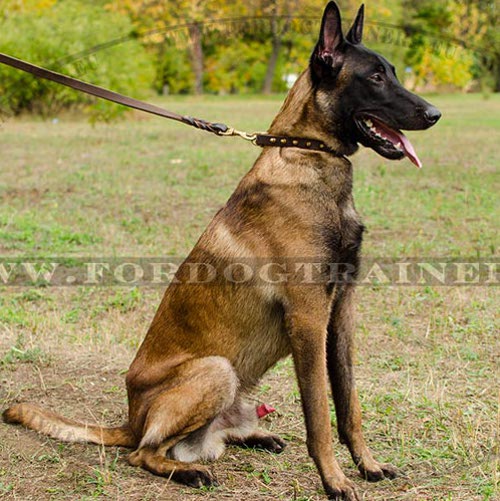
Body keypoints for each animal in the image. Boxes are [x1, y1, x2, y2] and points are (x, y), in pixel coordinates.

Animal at [1, 1, 440, 498]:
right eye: (376, 77)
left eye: (393, 72)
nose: (435, 113)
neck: (309, 156)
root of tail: (130, 420)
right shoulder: (309, 319)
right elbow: (319, 416)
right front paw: (334, 479)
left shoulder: (340, 313)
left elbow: (349, 405)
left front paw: (366, 464)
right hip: (216, 370)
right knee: (142, 453)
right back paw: (188, 470)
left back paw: (255, 436)